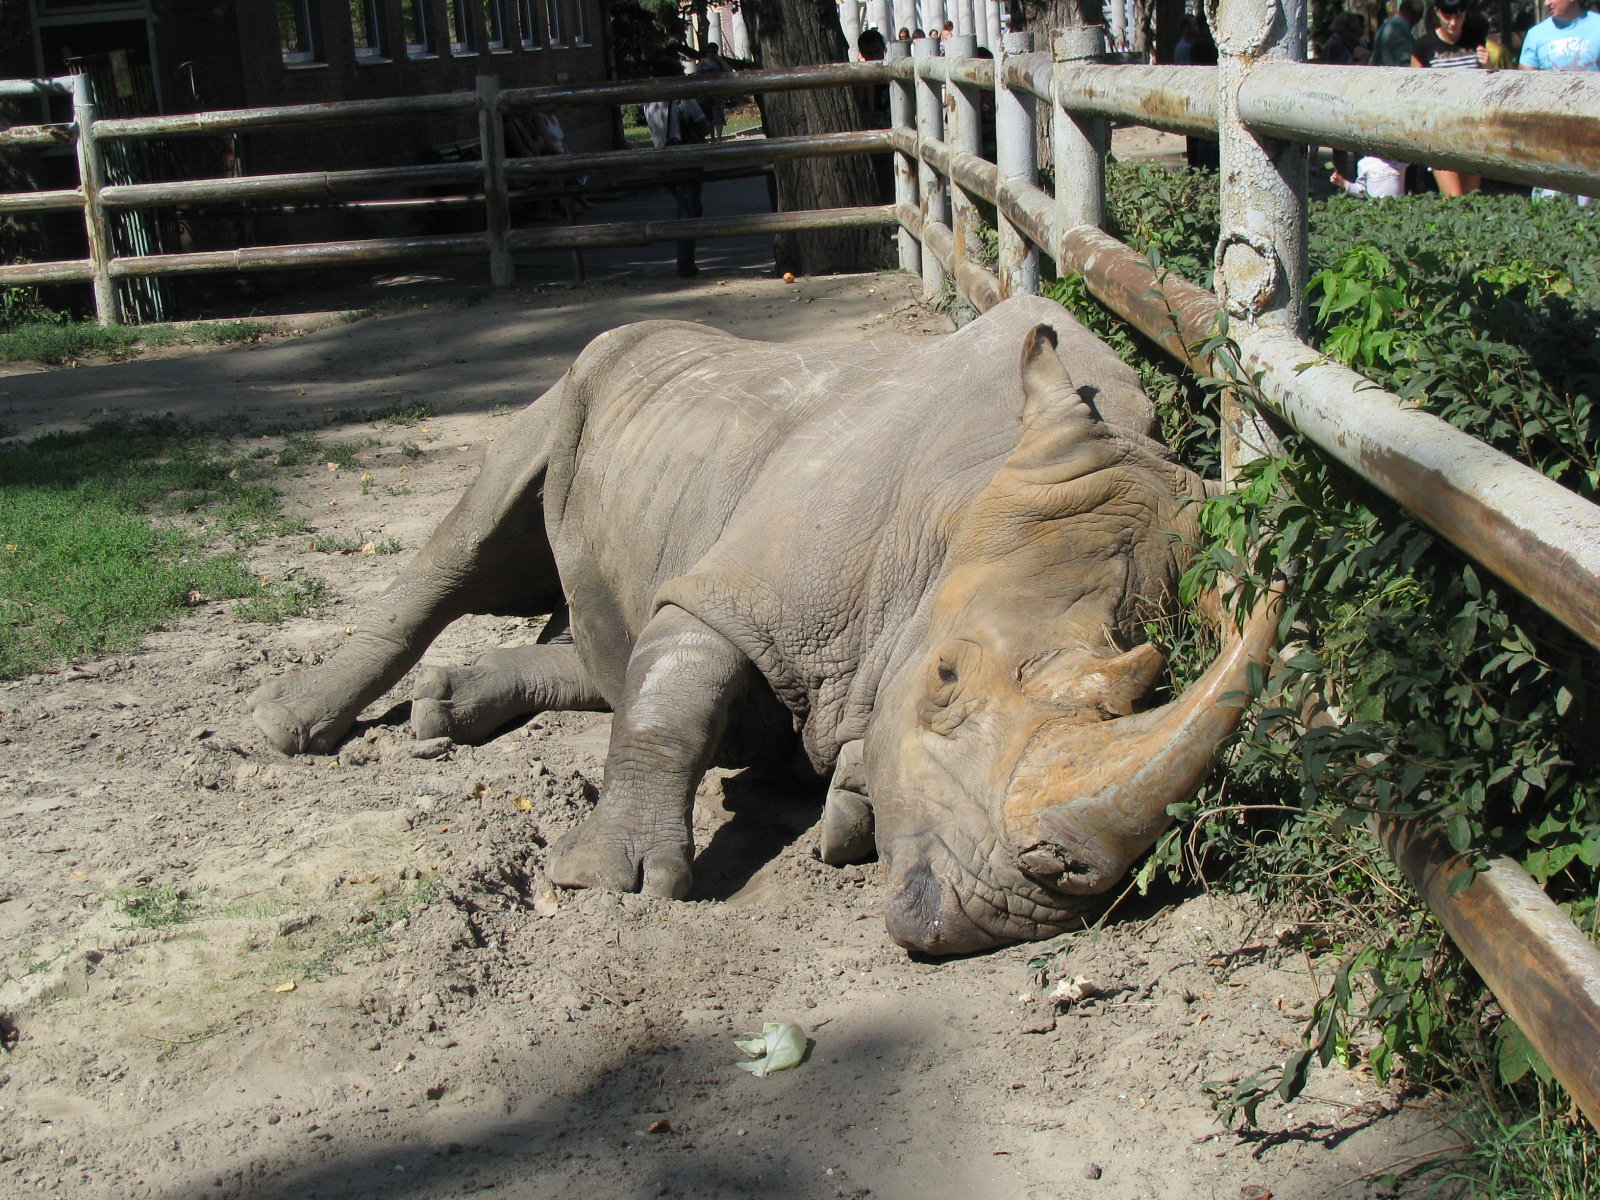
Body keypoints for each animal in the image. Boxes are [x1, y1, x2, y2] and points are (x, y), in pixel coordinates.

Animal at [249, 295, 1275, 955]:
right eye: (944, 682)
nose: (1015, 907)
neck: (959, 501)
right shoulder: (745, 588)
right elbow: (675, 698)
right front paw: (609, 883)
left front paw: (849, 804)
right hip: (584, 377)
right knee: (474, 537)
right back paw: (284, 727)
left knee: (602, 641)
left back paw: (441, 712)